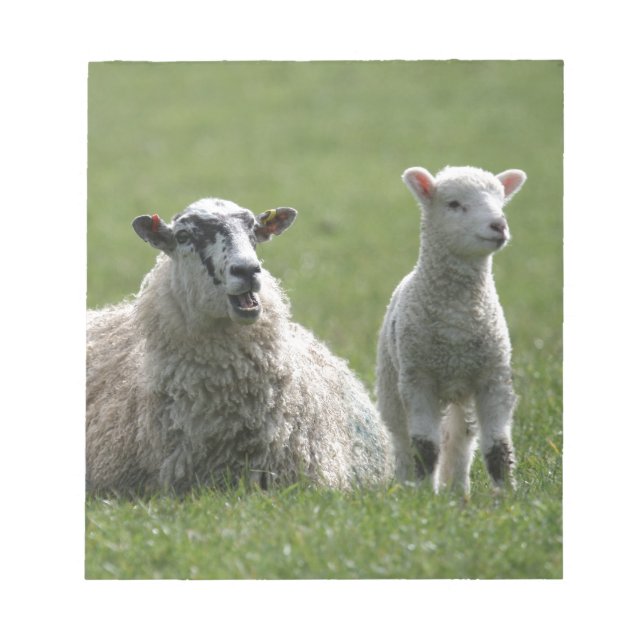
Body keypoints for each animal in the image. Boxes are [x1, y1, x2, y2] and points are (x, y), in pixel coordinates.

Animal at [376, 165, 527, 494]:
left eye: (501, 201)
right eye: (454, 204)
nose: (499, 225)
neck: (456, 319)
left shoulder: (493, 378)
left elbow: (498, 447)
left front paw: (507, 495)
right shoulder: (419, 379)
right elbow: (425, 446)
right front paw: (423, 496)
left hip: (463, 395)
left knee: (460, 442)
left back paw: (459, 491)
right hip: (391, 382)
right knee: (402, 440)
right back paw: (405, 485)